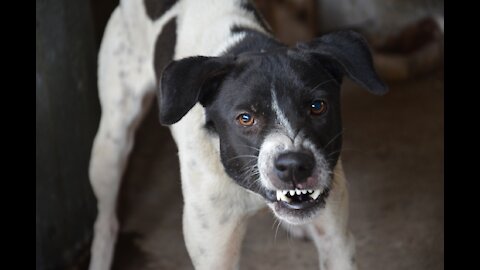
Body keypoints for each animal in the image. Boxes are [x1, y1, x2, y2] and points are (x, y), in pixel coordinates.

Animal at [88, 1, 388, 268]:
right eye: (245, 118)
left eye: (317, 106)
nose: (294, 165)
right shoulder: (215, 254)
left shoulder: (337, 242)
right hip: (111, 143)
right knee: (106, 219)